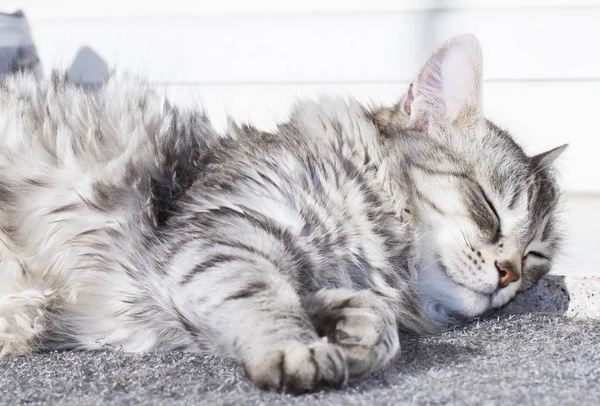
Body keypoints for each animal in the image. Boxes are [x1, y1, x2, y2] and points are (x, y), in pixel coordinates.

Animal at [0, 35, 568, 394]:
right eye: (488, 207)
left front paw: (348, 330)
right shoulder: (219, 237)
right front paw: (302, 349)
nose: (510, 274)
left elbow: (372, 320)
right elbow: (264, 297)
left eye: (535, 256)